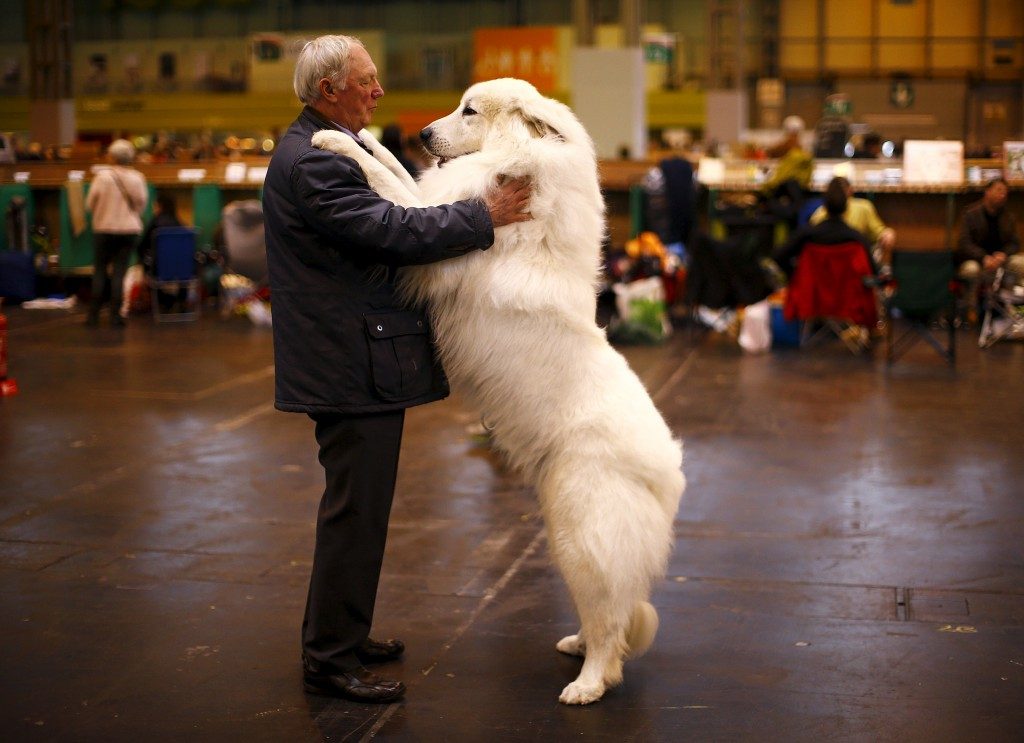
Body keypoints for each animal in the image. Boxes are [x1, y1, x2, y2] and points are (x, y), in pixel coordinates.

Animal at [311, 78, 679, 708]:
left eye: (470, 111)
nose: (423, 134)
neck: (524, 167)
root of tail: (669, 475)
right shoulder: (439, 201)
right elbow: (398, 173)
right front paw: (363, 138)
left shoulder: (433, 231)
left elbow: (392, 188)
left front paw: (332, 140)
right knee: (605, 612)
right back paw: (577, 647)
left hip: (581, 538)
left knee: (611, 622)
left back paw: (587, 685)